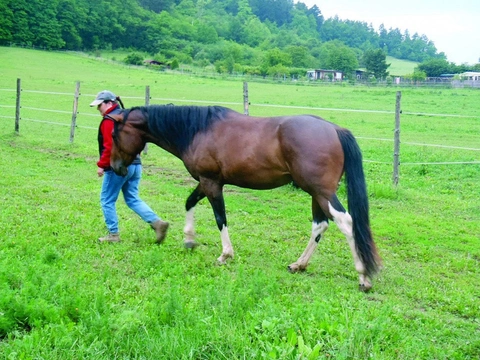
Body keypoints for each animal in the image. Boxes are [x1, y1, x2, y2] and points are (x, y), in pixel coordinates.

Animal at [109, 105, 382, 292]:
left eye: (113, 135)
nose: (116, 167)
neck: (197, 130)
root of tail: (335, 129)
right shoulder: (207, 182)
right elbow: (189, 203)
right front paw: (189, 240)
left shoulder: (211, 183)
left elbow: (220, 218)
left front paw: (225, 255)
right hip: (317, 193)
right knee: (320, 225)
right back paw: (299, 264)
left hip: (322, 192)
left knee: (345, 222)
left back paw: (363, 277)